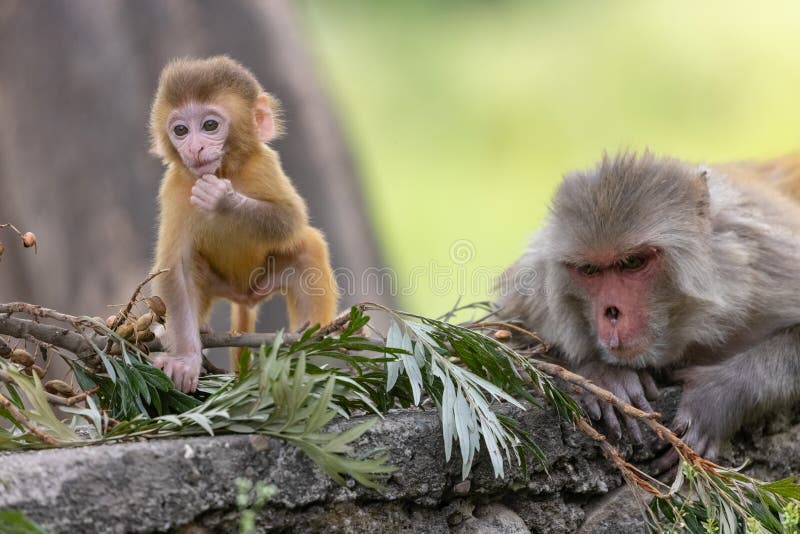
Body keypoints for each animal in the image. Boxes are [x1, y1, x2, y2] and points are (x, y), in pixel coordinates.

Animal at [149, 56, 338, 393]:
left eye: (210, 125)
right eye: (180, 130)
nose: (194, 148)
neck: (223, 170)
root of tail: (244, 295)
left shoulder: (263, 164)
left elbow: (290, 219)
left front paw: (223, 200)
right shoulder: (174, 189)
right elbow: (176, 268)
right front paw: (185, 360)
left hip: (267, 277)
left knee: (308, 247)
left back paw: (316, 339)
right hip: (220, 284)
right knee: (195, 267)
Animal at [496, 151, 800, 464]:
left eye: (632, 262)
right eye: (589, 269)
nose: (612, 313)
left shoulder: (769, 262)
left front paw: (718, 396)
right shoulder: (532, 296)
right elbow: (507, 348)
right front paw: (609, 378)